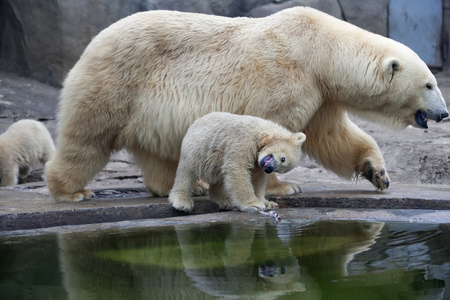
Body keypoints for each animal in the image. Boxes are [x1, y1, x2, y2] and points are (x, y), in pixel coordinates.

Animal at [44, 5, 448, 202]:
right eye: (429, 83)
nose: (444, 113)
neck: (321, 49)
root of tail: (92, 44)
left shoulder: (320, 94)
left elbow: (334, 137)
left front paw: (377, 173)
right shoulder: (288, 76)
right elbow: (271, 128)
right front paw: (285, 187)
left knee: (155, 149)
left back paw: (186, 186)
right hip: (117, 84)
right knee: (88, 138)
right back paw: (72, 190)